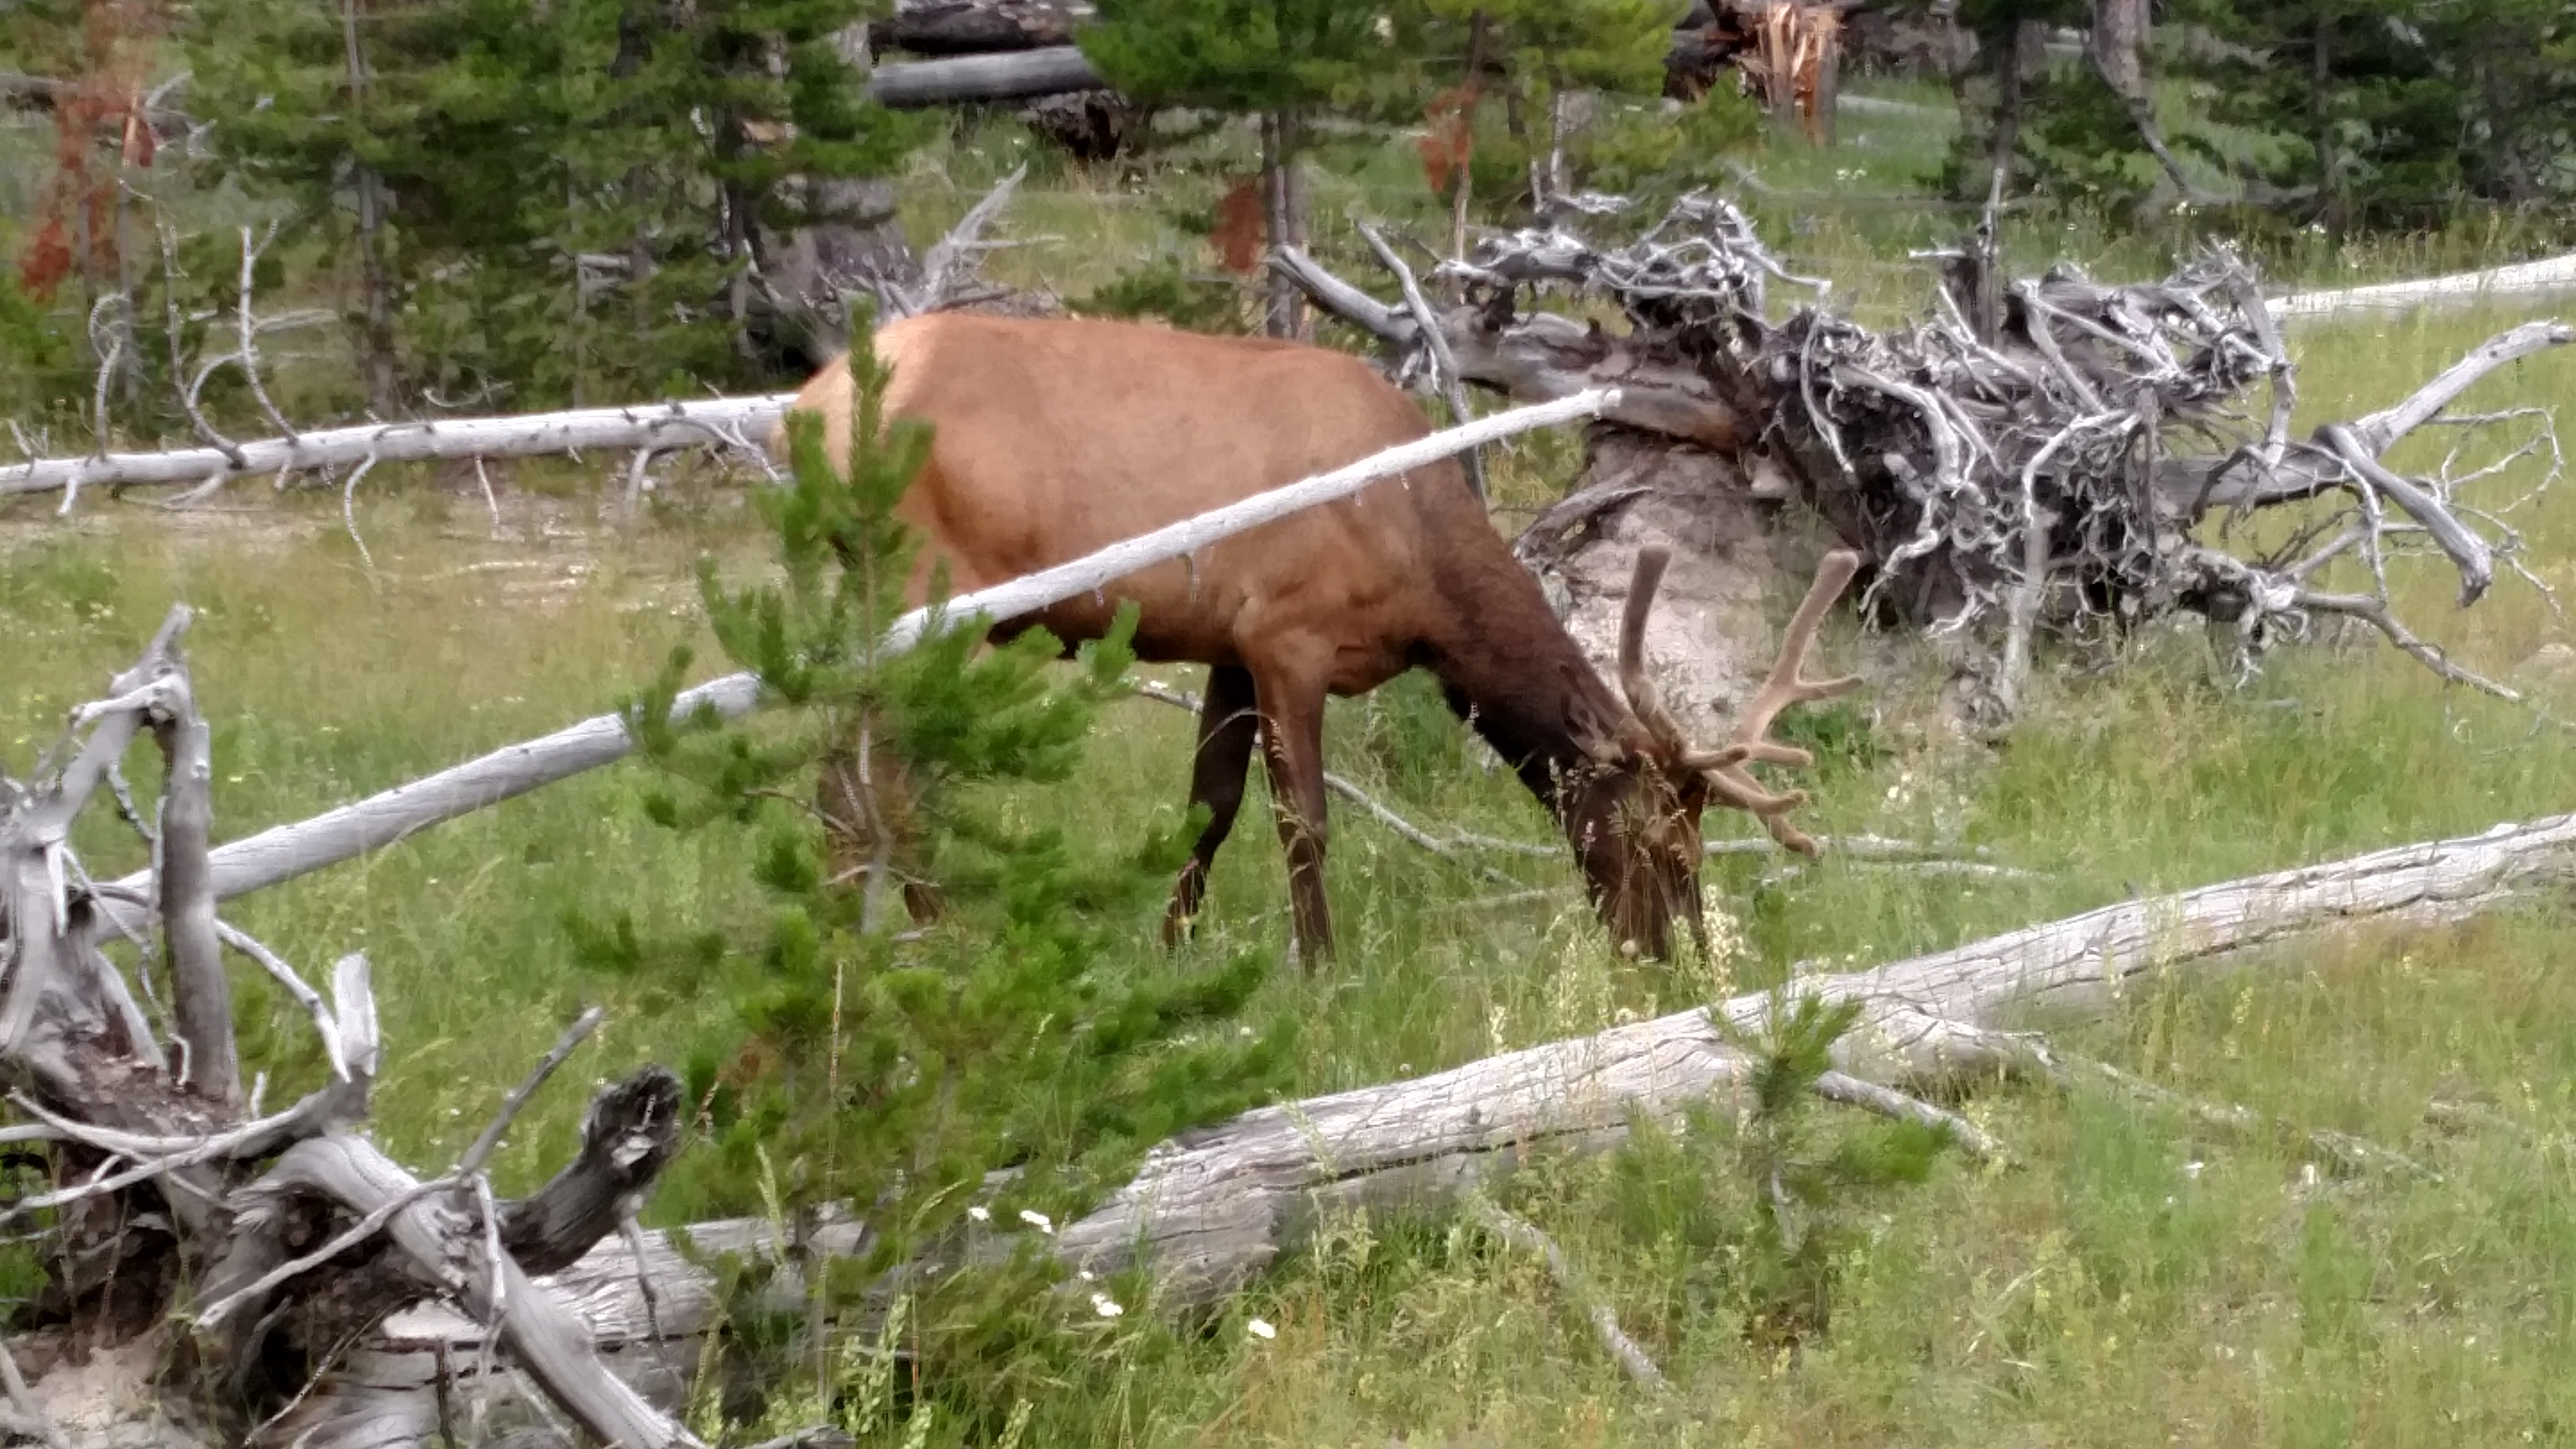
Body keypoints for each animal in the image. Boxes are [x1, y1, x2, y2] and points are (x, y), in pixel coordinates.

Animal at [775, 309, 1864, 965]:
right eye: (1660, 842)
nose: (1680, 960)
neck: (1423, 566)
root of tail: (804, 411)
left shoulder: (1225, 643)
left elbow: (1207, 809)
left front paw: (1170, 950)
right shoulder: (1285, 635)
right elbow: (1302, 822)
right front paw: (1321, 972)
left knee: (837, 771)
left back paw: (843, 938)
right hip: (925, 596)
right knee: (883, 779)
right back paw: (938, 938)